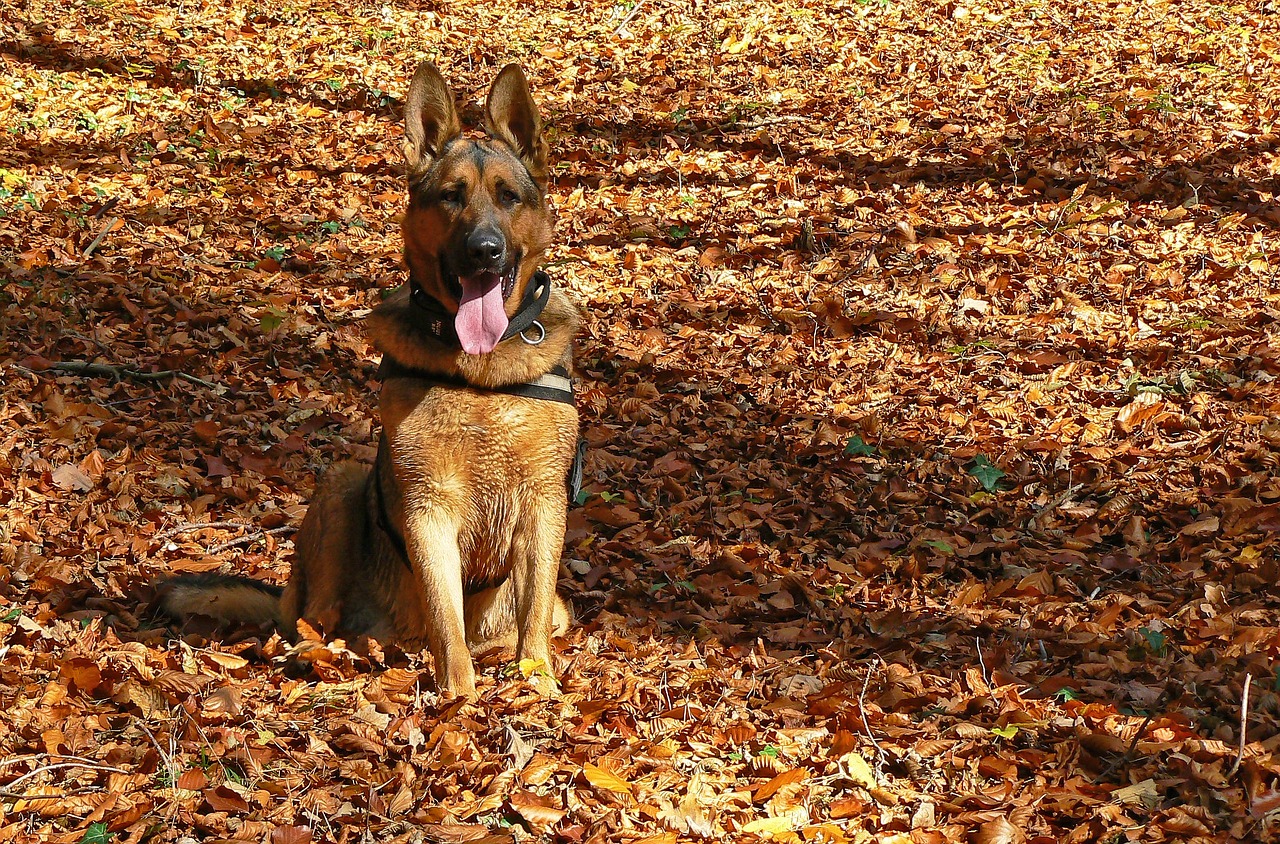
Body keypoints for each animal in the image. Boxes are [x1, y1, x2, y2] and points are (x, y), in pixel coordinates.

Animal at [160, 62, 576, 701]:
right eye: (451, 197)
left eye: (509, 197)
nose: (485, 250)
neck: (480, 373)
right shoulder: (429, 507)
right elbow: (446, 615)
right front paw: (460, 697)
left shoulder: (544, 504)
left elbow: (531, 614)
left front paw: (538, 684)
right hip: (342, 485)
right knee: (314, 619)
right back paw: (319, 655)